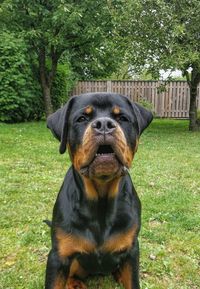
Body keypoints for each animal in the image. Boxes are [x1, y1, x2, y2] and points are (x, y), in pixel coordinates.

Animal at [45, 93, 152, 288]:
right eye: (81, 118)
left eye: (122, 118)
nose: (104, 124)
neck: (101, 201)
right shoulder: (59, 255)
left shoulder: (132, 251)